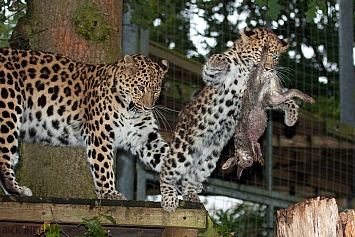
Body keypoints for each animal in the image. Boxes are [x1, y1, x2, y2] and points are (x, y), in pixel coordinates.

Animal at [0, 48, 170, 200]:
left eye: (156, 91)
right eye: (141, 88)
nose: (148, 108)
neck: (130, 111)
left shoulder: (145, 138)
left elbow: (168, 155)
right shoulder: (100, 134)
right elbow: (103, 164)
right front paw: (108, 193)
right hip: (8, 109)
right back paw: (17, 190)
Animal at [160, 26, 290, 212]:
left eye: (275, 57)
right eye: (261, 53)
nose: (268, 69)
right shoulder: (213, 78)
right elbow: (219, 61)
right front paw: (221, 61)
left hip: (207, 160)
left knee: (190, 178)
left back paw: (192, 196)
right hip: (182, 149)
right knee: (167, 171)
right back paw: (169, 199)